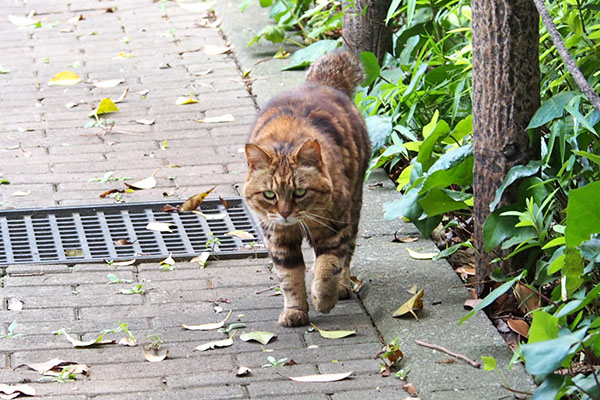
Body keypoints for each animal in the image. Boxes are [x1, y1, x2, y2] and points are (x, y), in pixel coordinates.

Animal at [244, 50, 370, 326]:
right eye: (269, 195)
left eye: (300, 192)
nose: (285, 213)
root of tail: (321, 82)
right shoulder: (278, 238)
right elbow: (290, 278)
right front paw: (295, 310)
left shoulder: (335, 230)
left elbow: (327, 268)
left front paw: (323, 299)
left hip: (354, 207)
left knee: (347, 255)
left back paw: (342, 286)